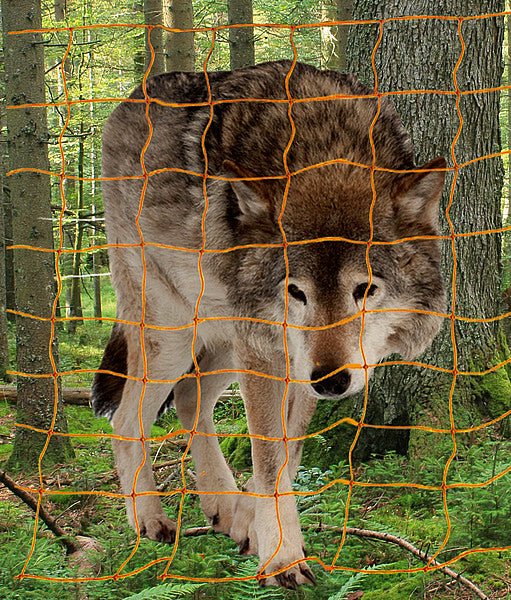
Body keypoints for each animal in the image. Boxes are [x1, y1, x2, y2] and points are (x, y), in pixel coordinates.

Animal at [93, 59, 448, 584]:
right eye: (296, 291)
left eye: (365, 289)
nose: (331, 381)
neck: (323, 143)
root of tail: (129, 101)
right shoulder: (270, 352)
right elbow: (267, 456)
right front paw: (282, 558)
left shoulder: (295, 362)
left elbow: (286, 459)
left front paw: (261, 534)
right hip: (175, 335)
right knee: (126, 419)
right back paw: (150, 521)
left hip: (226, 337)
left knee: (190, 400)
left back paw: (226, 510)